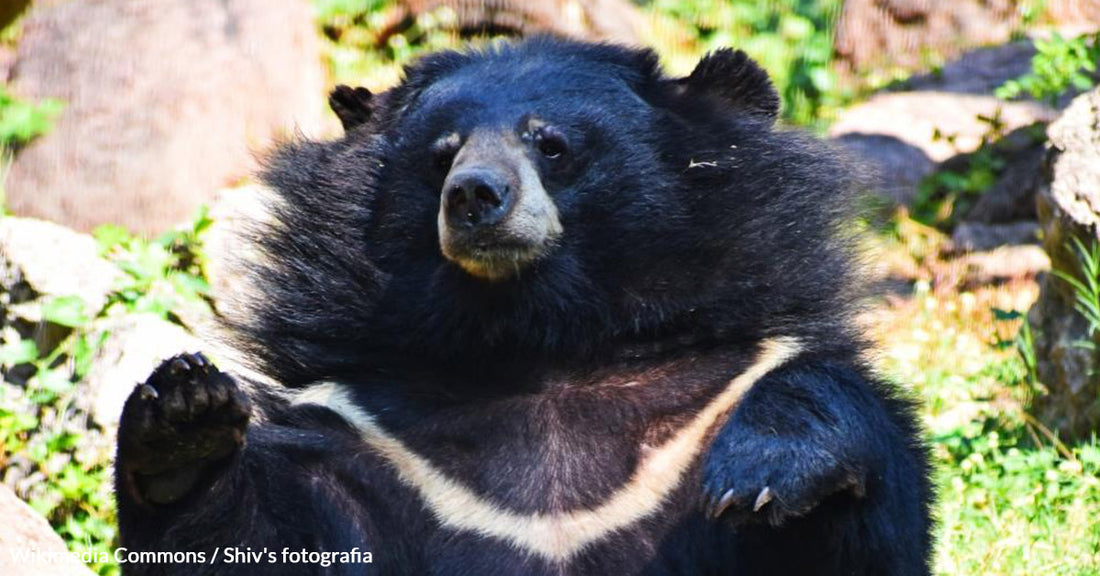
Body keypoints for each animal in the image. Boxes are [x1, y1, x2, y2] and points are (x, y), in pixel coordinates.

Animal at [116, 38, 932, 571]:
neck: (543, 343)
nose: (475, 195)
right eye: (441, 153)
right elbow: (264, 533)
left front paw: (765, 473)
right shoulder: (376, 446)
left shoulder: (719, 392)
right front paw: (184, 416)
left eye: (552, 145)